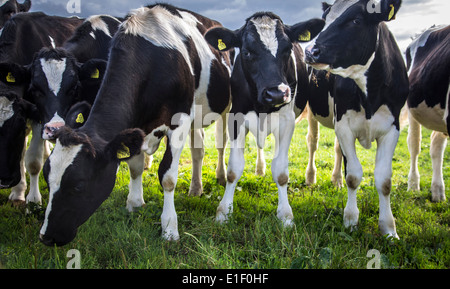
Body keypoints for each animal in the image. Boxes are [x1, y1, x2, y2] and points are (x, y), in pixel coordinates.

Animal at [0, 11, 82, 205]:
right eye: (35, 89)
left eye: (16, 127)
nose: (5, 180)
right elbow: (22, 153)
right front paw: (18, 192)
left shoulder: (36, 115)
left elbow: (32, 160)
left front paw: (33, 199)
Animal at [38, 3, 232, 245]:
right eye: (47, 178)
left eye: (78, 185)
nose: (47, 236)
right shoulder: (137, 127)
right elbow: (135, 166)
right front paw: (135, 204)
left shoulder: (180, 119)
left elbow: (168, 176)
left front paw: (170, 228)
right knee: (198, 150)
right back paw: (196, 188)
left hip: (226, 108)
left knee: (221, 144)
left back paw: (221, 177)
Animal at [204, 12, 324, 225]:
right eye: (247, 52)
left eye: (288, 49)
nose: (276, 93)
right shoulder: (236, 117)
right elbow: (233, 170)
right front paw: (224, 212)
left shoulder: (287, 122)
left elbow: (281, 172)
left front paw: (285, 215)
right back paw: (260, 170)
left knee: (312, 141)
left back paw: (312, 177)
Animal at [304, 0, 410, 238]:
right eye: (325, 20)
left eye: (356, 20)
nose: (310, 51)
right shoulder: (344, 125)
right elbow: (353, 175)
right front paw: (351, 220)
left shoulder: (392, 127)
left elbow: (384, 180)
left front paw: (389, 229)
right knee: (313, 142)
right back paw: (311, 178)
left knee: (336, 149)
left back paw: (336, 181)